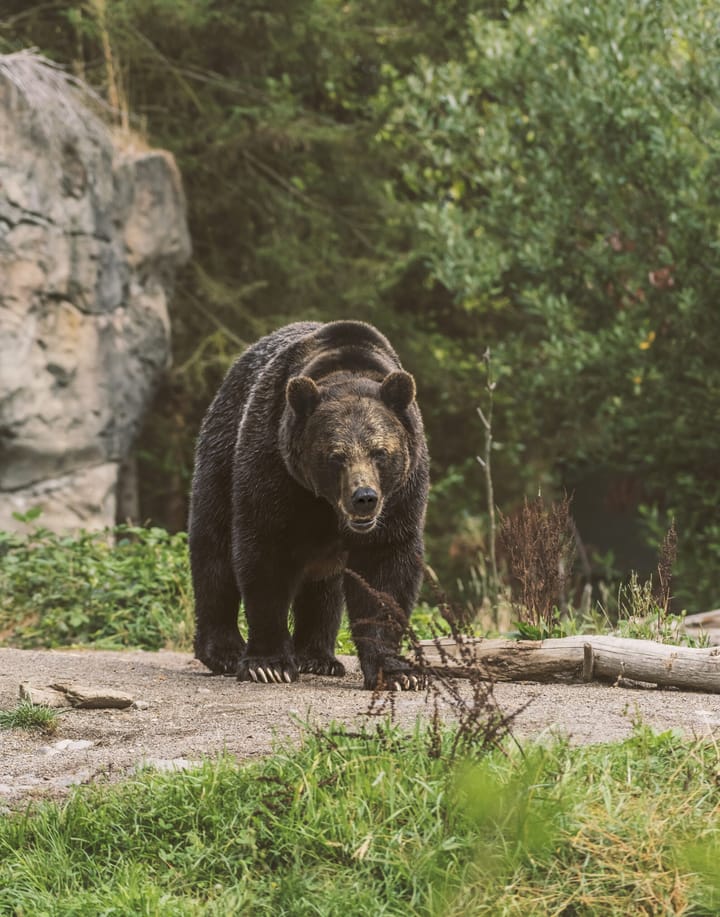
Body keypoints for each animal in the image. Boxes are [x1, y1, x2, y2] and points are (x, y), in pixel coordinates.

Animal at [189, 320, 429, 691]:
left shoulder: (401, 497)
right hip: (220, 455)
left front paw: (397, 672)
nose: (364, 498)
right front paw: (268, 664)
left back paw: (319, 657)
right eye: (335, 455)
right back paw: (224, 651)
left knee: (324, 587)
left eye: (379, 452)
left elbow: (384, 572)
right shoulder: (274, 467)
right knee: (213, 552)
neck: (325, 505)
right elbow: (264, 555)